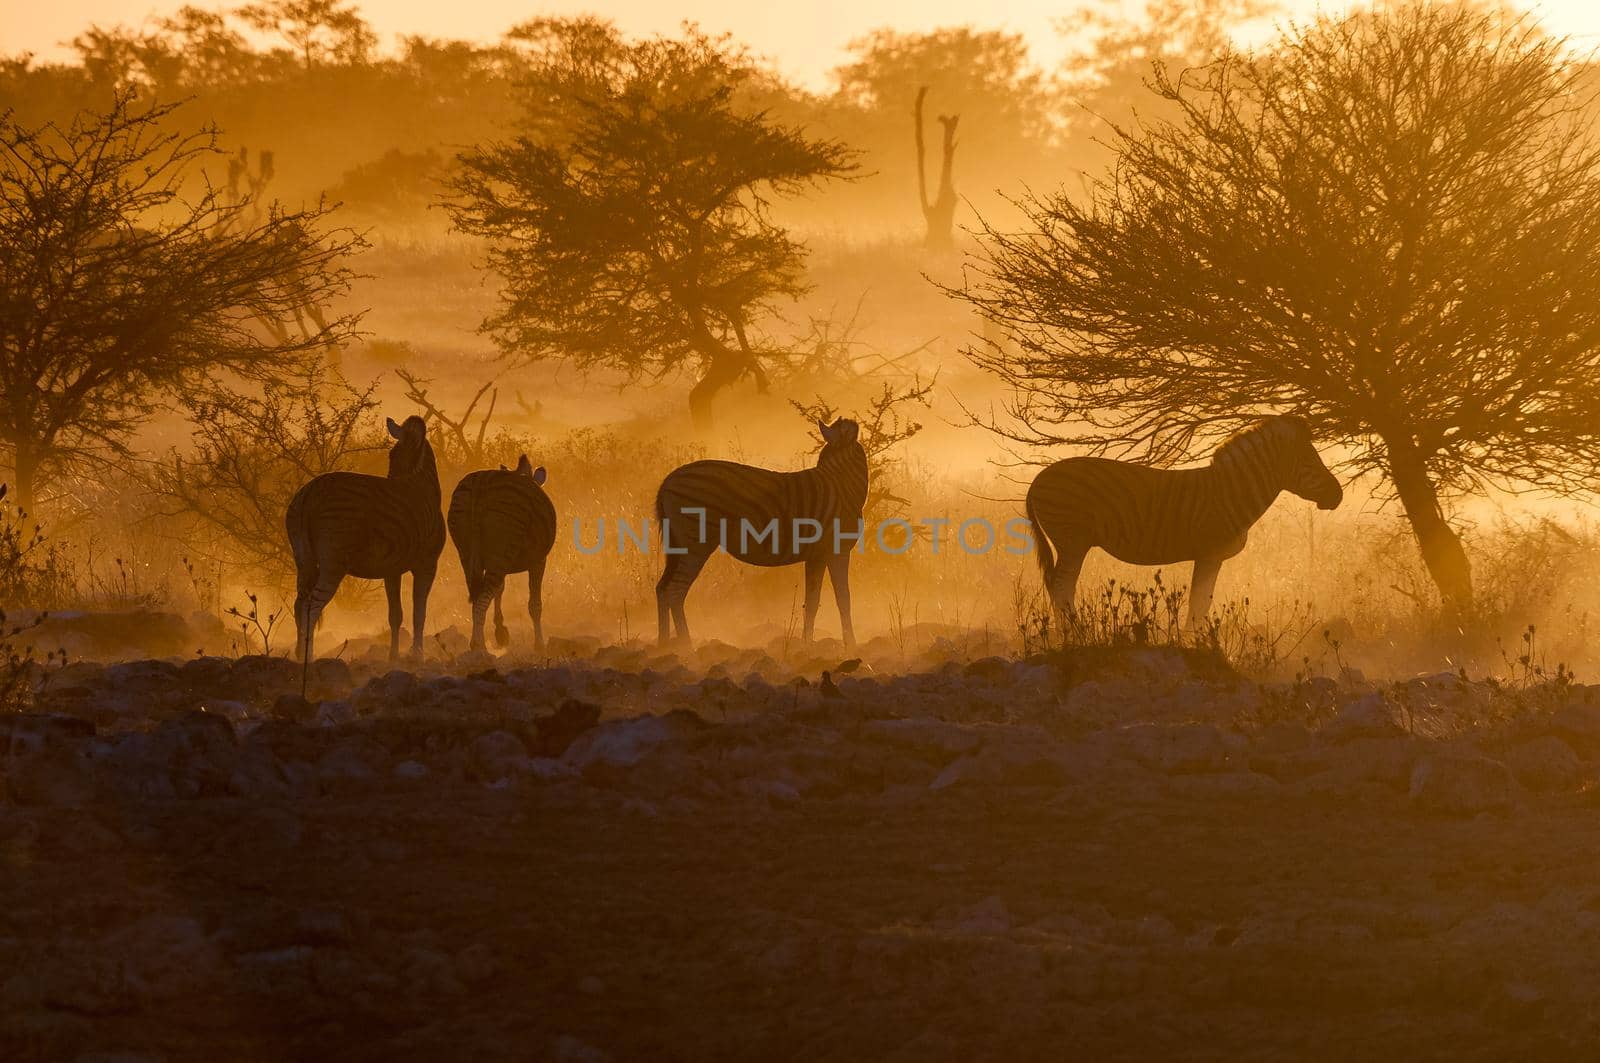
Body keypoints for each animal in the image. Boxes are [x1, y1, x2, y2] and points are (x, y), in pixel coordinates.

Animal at [286, 409, 444, 669]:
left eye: (393, 455)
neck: (423, 485)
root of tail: (309, 493)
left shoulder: (392, 569)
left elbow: (396, 615)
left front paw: (394, 657)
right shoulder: (428, 564)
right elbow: (419, 613)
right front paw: (417, 656)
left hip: (303, 560)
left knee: (299, 605)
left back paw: (299, 656)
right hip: (333, 563)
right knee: (311, 605)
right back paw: (309, 658)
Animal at [448, 451, 560, 653]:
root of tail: (481, 484)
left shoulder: (500, 559)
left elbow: (499, 590)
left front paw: (500, 631)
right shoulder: (538, 560)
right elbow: (535, 604)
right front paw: (539, 644)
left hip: (466, 553)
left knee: (477, 596)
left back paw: (477, 643)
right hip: (502, 545)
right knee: (482, 599)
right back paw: (479, 646)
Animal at [652, 416, 870, 646]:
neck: (843, 484)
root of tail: (667, 482)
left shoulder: (816, 555)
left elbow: (811, 602)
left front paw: (807, 645)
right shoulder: (838, 550)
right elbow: (843, 598)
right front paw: (851, 645)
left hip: (677, 543)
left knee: (662, 589)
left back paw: (663, 644)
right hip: (695, 543)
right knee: (675, 591)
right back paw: (686, 646)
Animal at [1024, 416, 1337, 627]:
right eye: (1310, 461)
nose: (1339, 494)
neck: (1231, 492)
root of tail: (1039, 478)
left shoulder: (1213, 557)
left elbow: (1203, 601)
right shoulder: (1209, 553)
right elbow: (1198, 602)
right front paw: (1196, 641)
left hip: (1069, 541)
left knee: (1056, 585)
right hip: (1072, 539)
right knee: (1062, 585)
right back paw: (1073, 635)